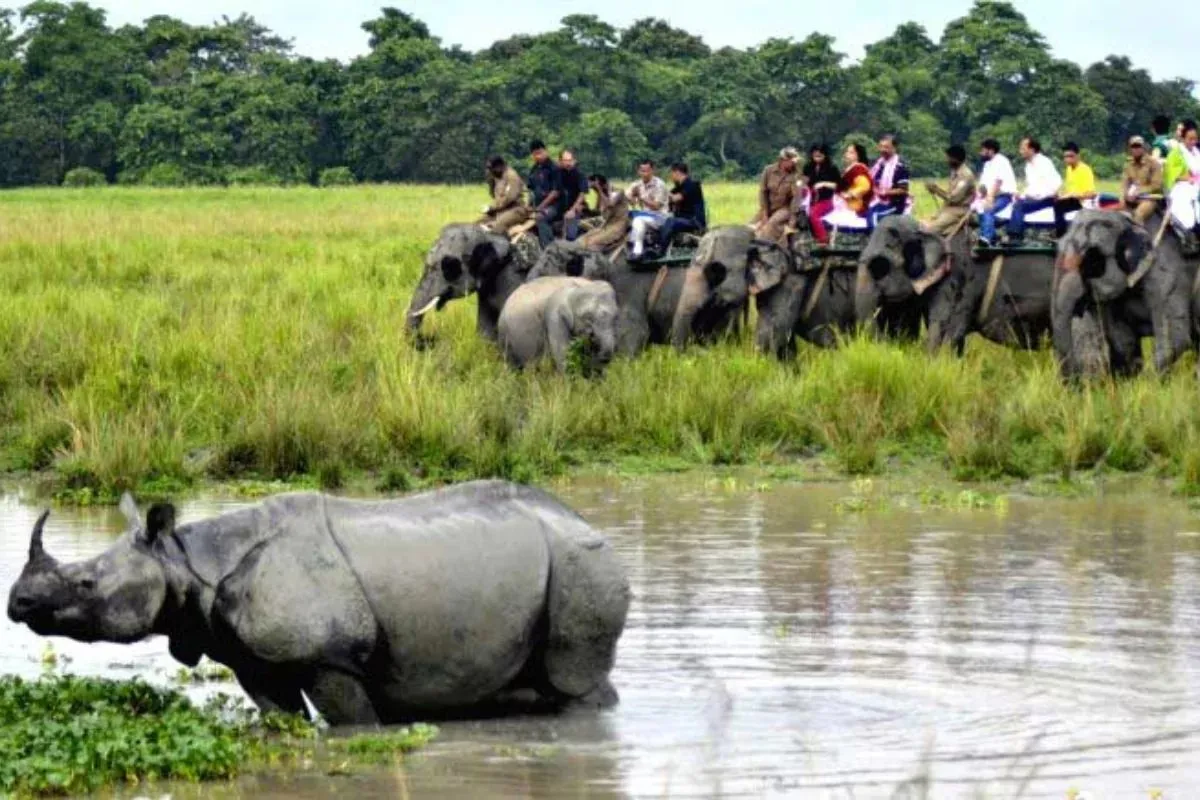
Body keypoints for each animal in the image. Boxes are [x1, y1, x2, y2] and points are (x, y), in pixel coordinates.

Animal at [9, 484, 633, 729]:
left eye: (86, 583)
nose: (18, 603)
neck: (184, 560)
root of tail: (584, 521)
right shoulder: (253, 659)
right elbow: (281, 714)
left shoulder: (329, 657)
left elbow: (354, 724)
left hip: (579, 564)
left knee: (573, 678)